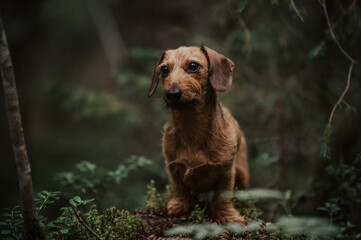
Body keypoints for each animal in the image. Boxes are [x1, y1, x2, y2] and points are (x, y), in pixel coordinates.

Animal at [148, 46, 249, 224]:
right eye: (164, 69)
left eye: (193, 66)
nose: (172, 93)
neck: (192, 126)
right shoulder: (172, 166)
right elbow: (179, 187)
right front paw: (179, 205)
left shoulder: (226, 172)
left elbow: (222, 197)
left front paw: (228, 215)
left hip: (243, 173)